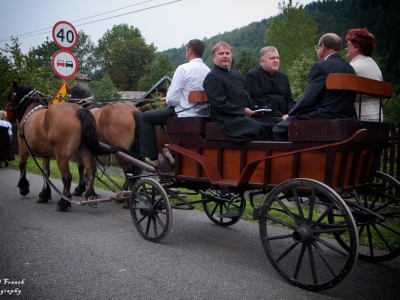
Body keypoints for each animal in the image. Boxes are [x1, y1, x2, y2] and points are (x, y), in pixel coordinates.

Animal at [9, 82, 126, 212]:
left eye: (11, 96)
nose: (9, 114)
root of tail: (77, 110)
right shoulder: (46, 154)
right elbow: (46, 172)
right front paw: (44, 195)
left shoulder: (23, 149)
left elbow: (22, 166)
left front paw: (24, 188)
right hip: (84, 149)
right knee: (90, 169)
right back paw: (91, 196)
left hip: (62, 155)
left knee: (67, 177)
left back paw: (63, 202)